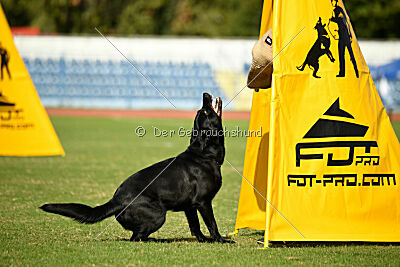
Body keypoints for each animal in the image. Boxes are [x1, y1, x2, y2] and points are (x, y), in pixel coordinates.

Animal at [39, 93, 231, 244]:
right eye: (204, 111)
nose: (204, 94)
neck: (204, 155)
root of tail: (115, 201)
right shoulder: (203, 202)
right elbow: (212, 225)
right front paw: (221, 240)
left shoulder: (189, 207)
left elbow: (195, 226)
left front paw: (203, 240)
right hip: (159, 215)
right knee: (136, 237)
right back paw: (161, 240)